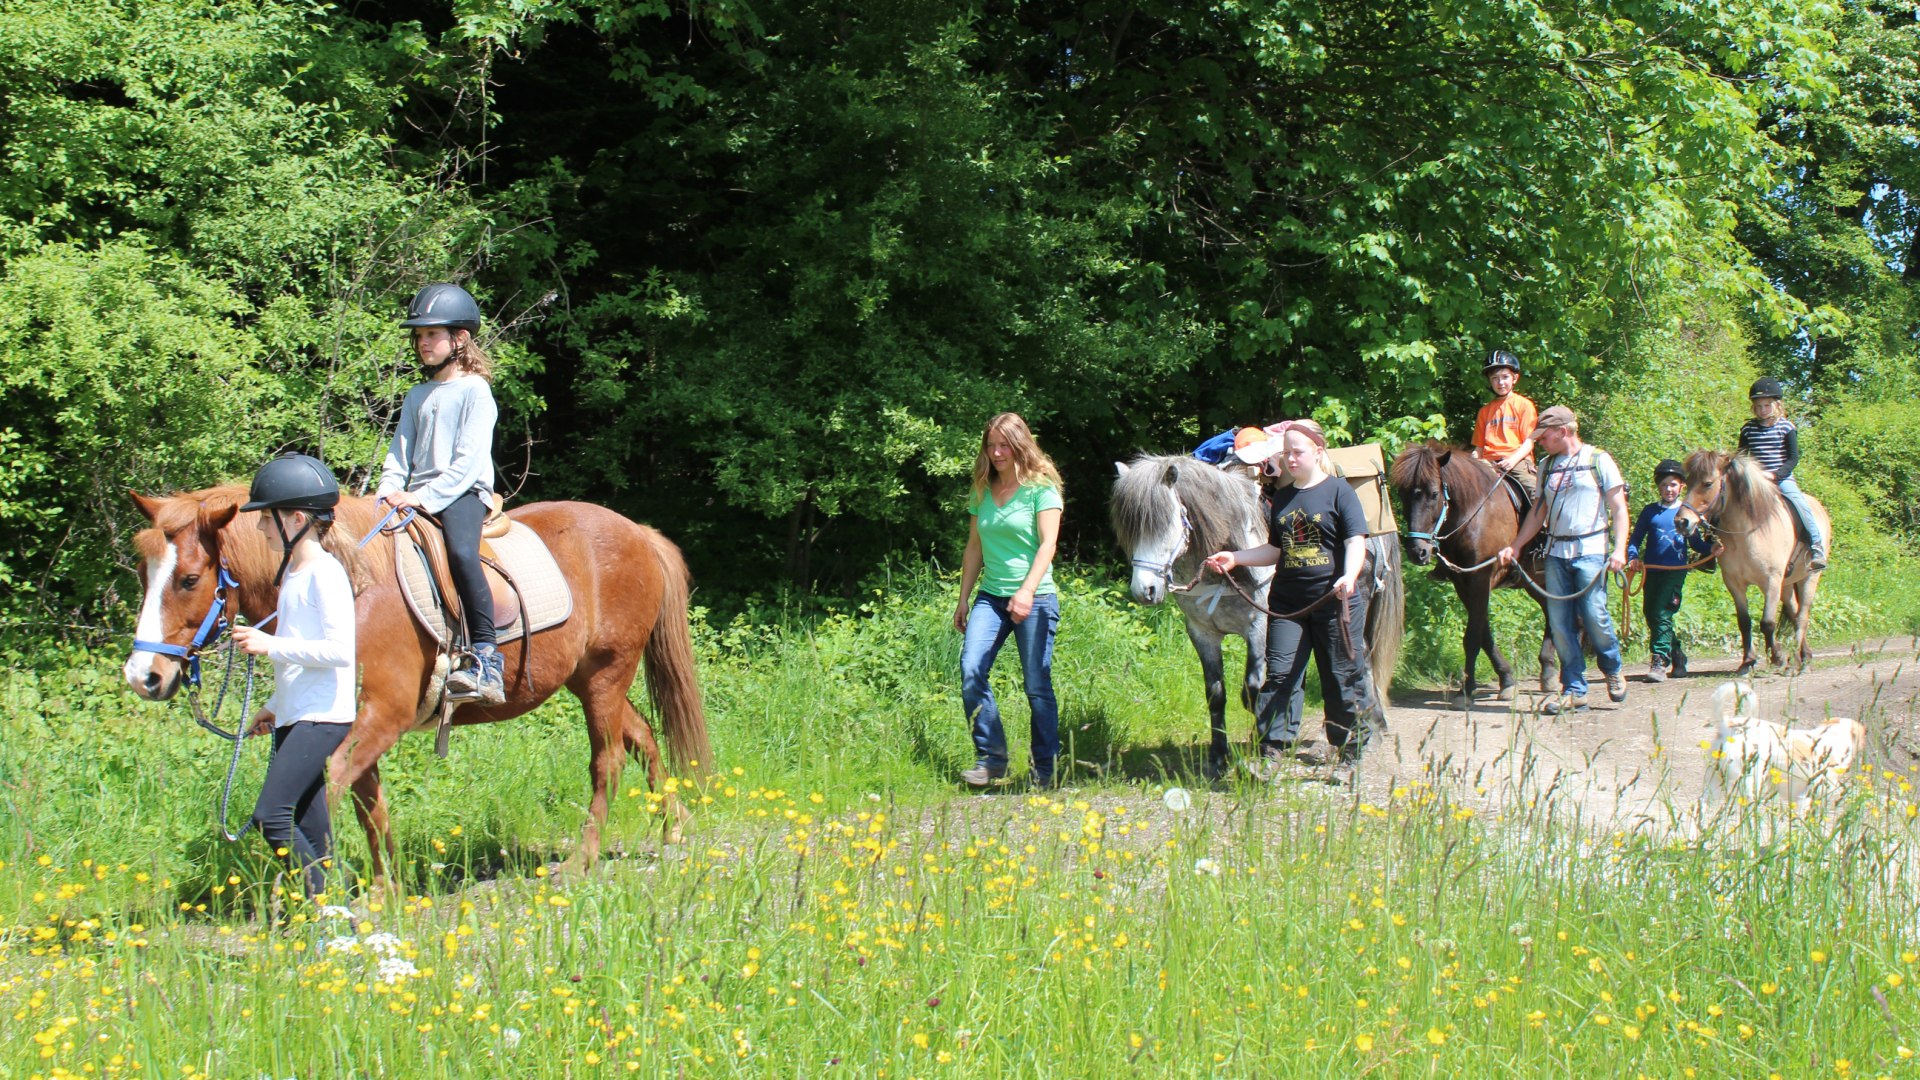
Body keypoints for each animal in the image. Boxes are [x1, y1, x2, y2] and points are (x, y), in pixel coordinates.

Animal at [125, 486, 714, 883]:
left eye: (190, 579)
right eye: (144, 574)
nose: (143, 676)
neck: (353, 587)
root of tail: (638, 532)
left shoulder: (382, 715)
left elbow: (330, 788)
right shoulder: (353, 721)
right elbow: (368, 801)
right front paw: (385, 888)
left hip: (605, 675)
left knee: (608, 761)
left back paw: (582, 859)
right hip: (589, 679)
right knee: (642, 738)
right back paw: (676, 826)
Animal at [1105, 453, 1405, 772]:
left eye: (1163, 523)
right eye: (1129, 531)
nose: (1144, 590)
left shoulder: (1260, 626)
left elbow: (1252, 690)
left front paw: (1261, 738)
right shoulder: (1202, 633)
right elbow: (1217, 694)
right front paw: (1219, 757)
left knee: (1357, 664)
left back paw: (1365, 732)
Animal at [1397, 440, 1574, 703]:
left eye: (1434, 494)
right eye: (1403, 495)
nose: (1417, 551)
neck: (1473, 515)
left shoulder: (1481, 578)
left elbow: (1472, 636)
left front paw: (1466, 690)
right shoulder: (1462, 582)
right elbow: (1483, 634)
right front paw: (1506, 678)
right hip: (1533, 581)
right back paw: (1549, 670)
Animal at [1681, 447, 1827, 668]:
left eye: (1708, 483)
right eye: (1688, 481)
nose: (1681, 521)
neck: (1746, 533)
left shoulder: (1771, 581)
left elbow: (1767, 622)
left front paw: (1777, 657)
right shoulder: (1734, 583)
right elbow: (1744, 621)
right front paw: (1748, 661)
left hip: (1810, 577)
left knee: (1803, 615)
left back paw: (1798, 659)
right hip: (1787, 583)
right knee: (1794, 612)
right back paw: (1805, 653)